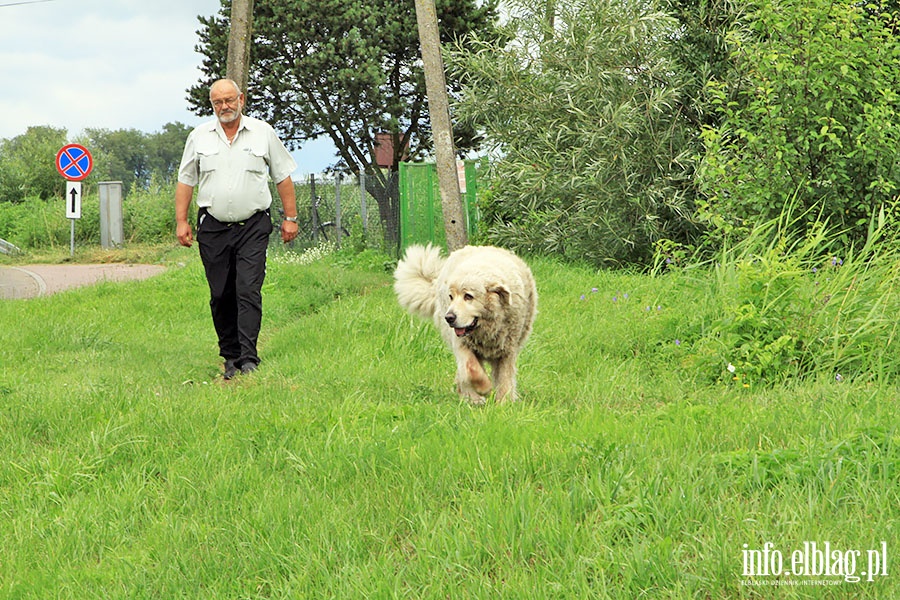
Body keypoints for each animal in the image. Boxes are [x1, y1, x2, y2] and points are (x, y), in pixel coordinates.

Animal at [392, 244, 536, 404]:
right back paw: (472, 398)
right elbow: (471, 369)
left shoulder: (507, 350)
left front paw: (505, 402)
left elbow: (505, 377)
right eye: (451, 297)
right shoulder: (462, 344)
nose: (449, 317)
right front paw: (483, 387)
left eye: (468, 296)